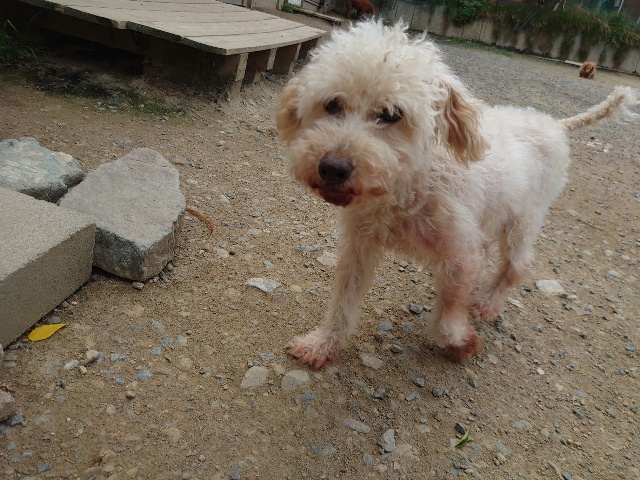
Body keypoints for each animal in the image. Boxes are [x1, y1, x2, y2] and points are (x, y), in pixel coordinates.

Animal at [276, 21, 639, 369]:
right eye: (332, 104)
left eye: (393, 114)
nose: (332, 168)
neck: (409, 185)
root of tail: (554, 124)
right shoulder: (360, 245)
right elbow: (343, 300)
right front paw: (323, 344)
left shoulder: (461, 252)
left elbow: (448, 312)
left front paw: (460, 342)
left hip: (523, 221)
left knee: (518, 265)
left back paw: (489, 303)